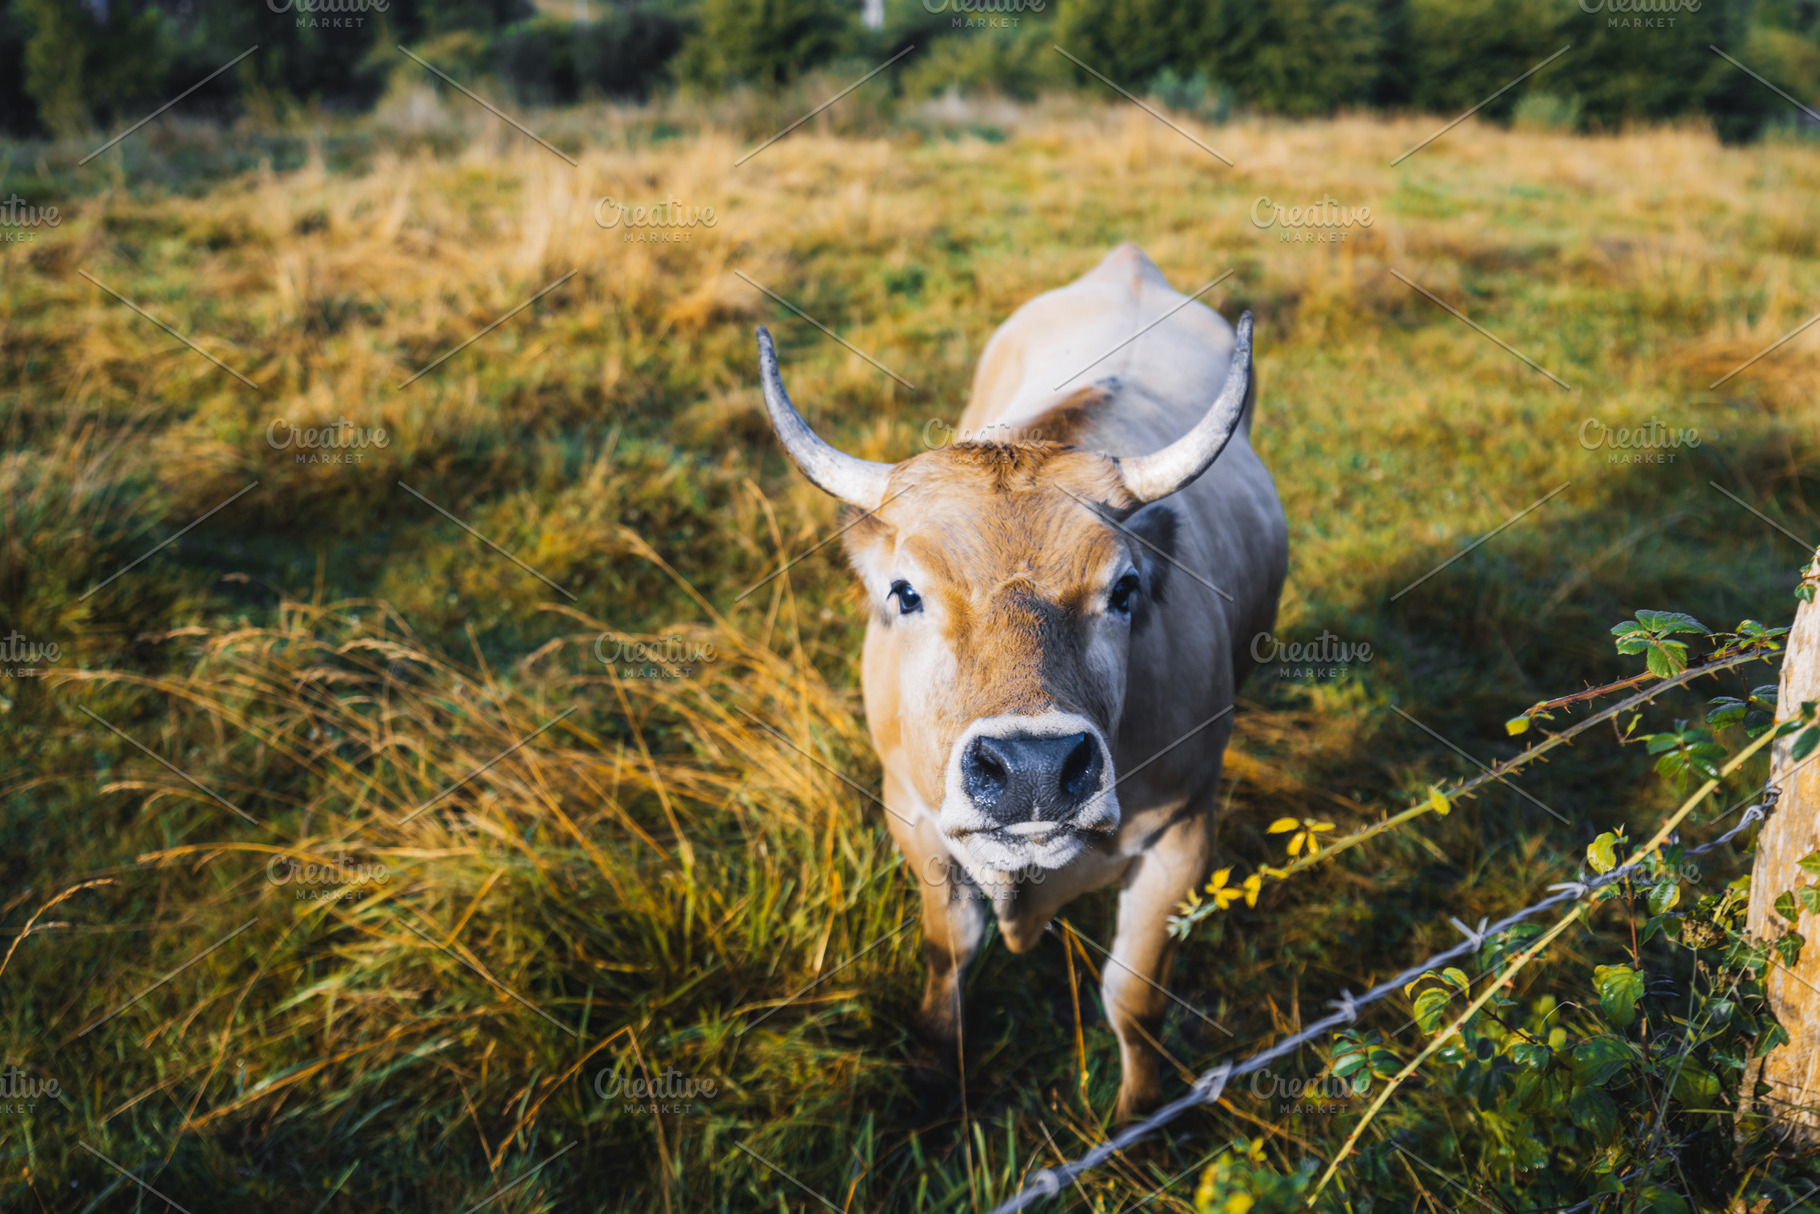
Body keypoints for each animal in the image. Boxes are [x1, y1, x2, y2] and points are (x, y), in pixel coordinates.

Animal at [753, 243, 1289, 1119]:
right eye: (906, 593)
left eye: (1124, 590)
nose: (1035, 769)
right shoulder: (912, 813)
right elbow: (950, 949)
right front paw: (936, 1073)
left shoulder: (1182, 835)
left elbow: (1131, 999)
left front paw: (1140, 1121)